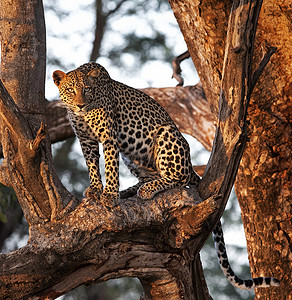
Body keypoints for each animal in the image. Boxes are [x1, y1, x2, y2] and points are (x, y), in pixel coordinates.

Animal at [53, 62, 280, 290]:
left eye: (87, 89)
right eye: (70, 90)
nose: (80, 105)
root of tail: (189, 165)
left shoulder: (109, 138)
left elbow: (110, 167)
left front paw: (109, 195)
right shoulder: (86, 140)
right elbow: (92, 165)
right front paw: (95, 189)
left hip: (166, 134)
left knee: (178, 178)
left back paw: (145, 190)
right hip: (133, 157)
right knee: (150, 177)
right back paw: (130, 191)